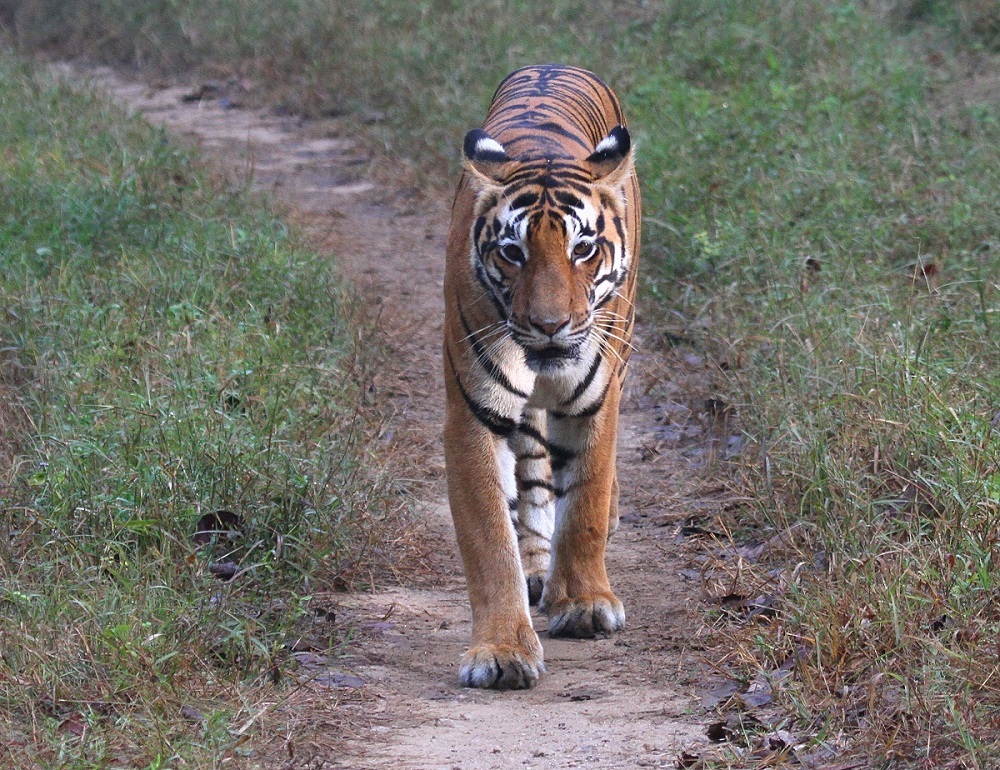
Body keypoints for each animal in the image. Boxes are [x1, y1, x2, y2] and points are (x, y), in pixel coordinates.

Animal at [444, 64, 640, 688]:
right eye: (512, 252)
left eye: (583, 248)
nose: (550, 325)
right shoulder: (473, 415)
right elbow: (489, 538)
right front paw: (502, 650)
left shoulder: (594, 401)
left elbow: (585, 505)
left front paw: (583, 603)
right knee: (531, 473)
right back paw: (535, 568)